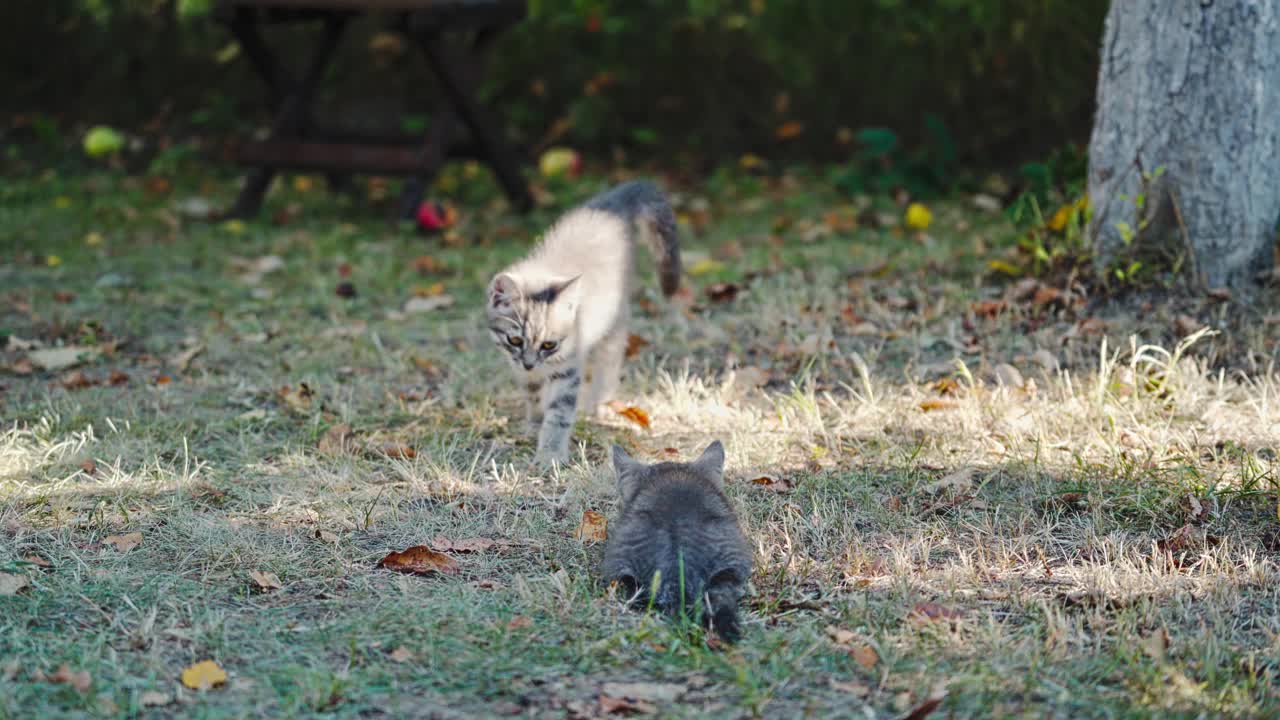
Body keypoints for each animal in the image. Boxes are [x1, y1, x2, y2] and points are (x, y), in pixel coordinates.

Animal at [483, 179, 680, 458]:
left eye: (549, 344)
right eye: (515, 340)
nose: (530, 363)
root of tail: (612, 204)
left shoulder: (568, 369)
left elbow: (560, 412)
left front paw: (551, 453)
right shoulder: (521, 368)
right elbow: (533, 394)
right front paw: (534, 424)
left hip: (615, 316)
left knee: (610, 358)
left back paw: (600, 403)